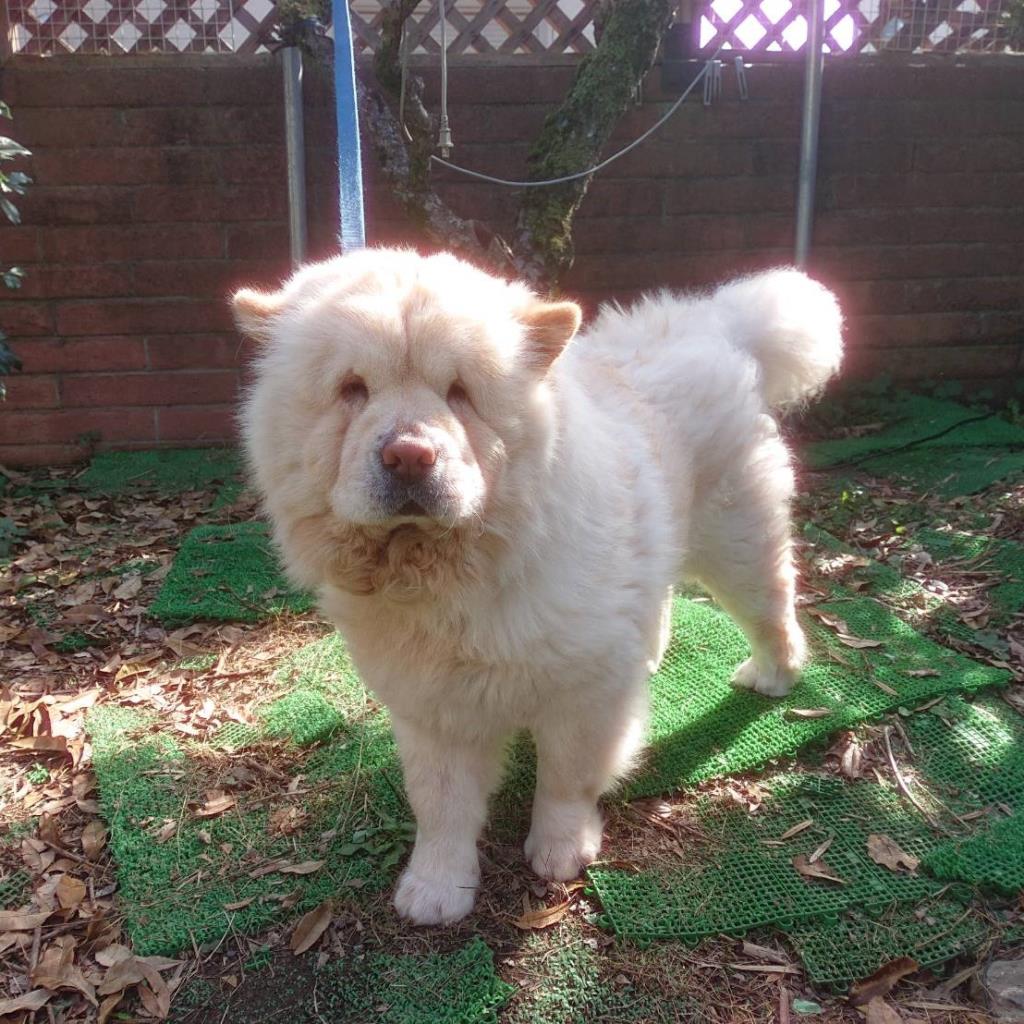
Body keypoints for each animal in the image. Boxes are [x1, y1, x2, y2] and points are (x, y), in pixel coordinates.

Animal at [234, 248, 843, 926]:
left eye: (461, 394)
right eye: (351, 389)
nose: (409, 455)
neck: (450, 577)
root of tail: (717, 319)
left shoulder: (583, 693)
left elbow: (566, 779)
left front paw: (560, 851)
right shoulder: (431, 704)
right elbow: (440, 803)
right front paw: (437, 888)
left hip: (736, 542)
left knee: (773, 607)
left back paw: (775, 674)